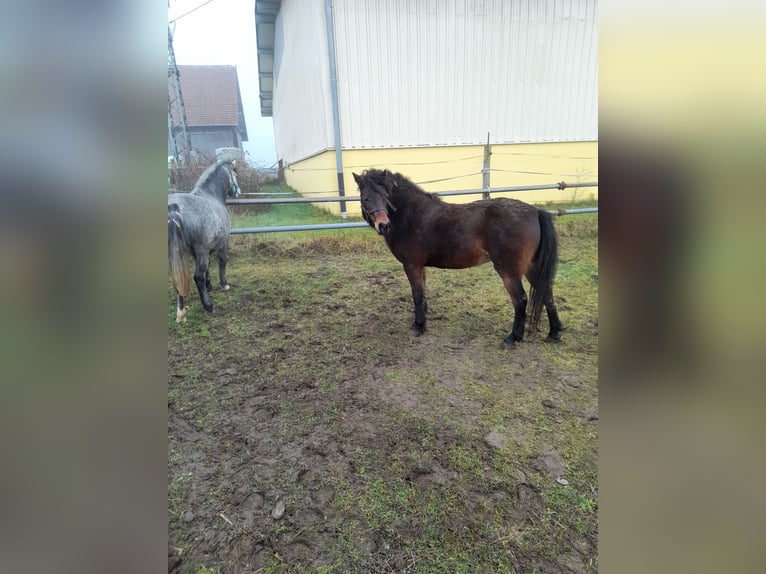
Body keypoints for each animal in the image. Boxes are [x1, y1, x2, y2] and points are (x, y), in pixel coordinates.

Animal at [168, 159, 240, 323]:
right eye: (234, 174)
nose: (237, 191)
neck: (211, 194)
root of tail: (173, 209)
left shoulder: (202, 252)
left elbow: (207, 269)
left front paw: (209, 286)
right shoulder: (222, 243)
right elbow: (222, 262)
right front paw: (224, 285)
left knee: (178, 279)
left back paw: (181, 314)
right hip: (201, 251)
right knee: (197, 277)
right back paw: (208, 306)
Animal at [352, 169, 562, 346]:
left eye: (386, 196)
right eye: (365, 198)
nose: (383, 225)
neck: (411, 215)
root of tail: (535, 211)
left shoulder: (412, 265)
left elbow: (417, 295)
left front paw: (418, 326)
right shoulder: (420, 266)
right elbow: (422, 293)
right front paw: (424, 319)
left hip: (509, 272)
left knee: (520, 300)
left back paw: (513, 338)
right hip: (531, 267)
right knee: (546, 293)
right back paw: (554, 333)